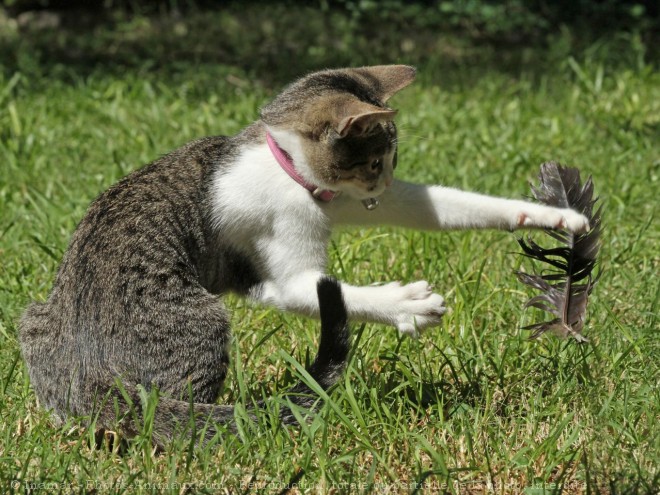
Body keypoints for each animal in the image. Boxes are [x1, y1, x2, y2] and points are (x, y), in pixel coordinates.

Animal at [19, 64, 588, 448]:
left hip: (33, 318)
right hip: (204, 320)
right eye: (377, 160)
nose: (383, 181)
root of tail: (94, 378)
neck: (282, 162)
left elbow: (442, 205)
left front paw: (555, 216)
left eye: (392, 162)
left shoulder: (343, 201)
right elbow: (334, 292)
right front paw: (406, 305)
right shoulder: (285, 273)